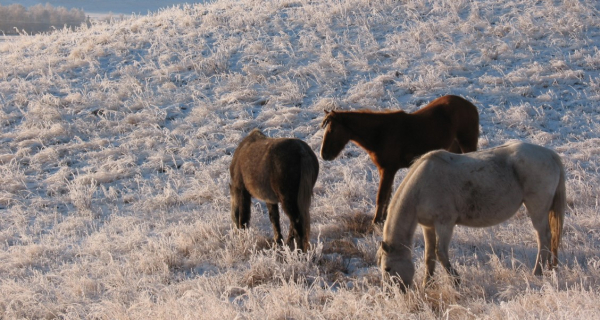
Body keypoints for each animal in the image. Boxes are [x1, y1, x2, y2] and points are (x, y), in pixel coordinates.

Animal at [322, 95, 480, 224]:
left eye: (332, 130)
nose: (324, 154)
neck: (380, 134)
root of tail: (471, 106)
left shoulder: (387, 170)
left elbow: (382, 196)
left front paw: (376, 221)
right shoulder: (386, 171)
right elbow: (387, 195)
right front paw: (383, 219)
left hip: (467, 143)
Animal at [378, 141, 564, 292]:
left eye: (387, 268)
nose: (394, 293)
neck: (422, 187)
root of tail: (550, 154)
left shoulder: (445, 224)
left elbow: (440, 253)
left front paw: (456, 281)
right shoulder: (428, 226)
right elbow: (429, 257)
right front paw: (427, 284)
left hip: (537, 208)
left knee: (543, 238)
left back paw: (537, 272)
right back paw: (548, 268)